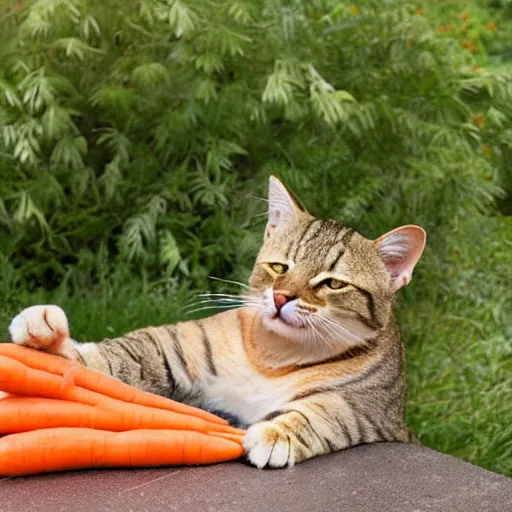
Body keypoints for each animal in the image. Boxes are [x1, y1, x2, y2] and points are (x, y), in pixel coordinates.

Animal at [8, 176, 426, 468]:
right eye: (279, 267)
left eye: (333, 283)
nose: (280, 297)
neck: (275, 357)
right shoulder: (176, 350)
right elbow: (118, 358)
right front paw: (51, 341)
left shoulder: (367, 408)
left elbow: (323, 413)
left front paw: (278, 433)